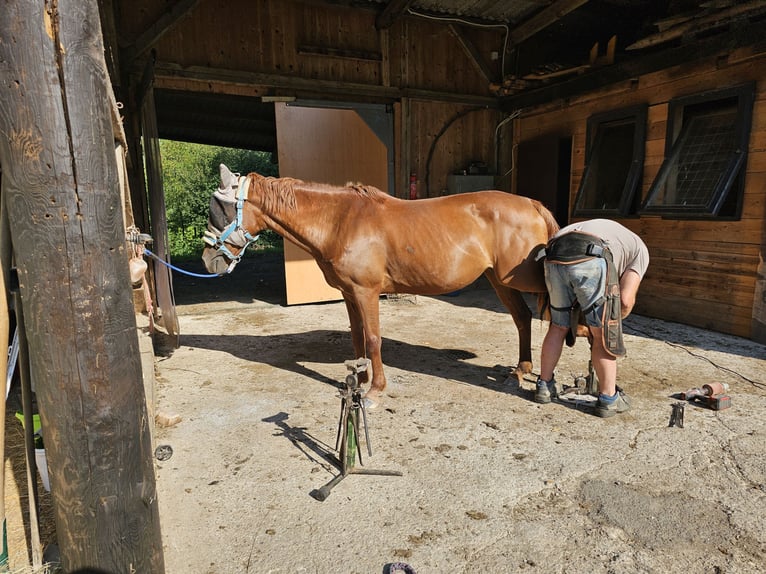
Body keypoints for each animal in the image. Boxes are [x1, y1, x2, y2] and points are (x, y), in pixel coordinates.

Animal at [202, 164, 559, 408]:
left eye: (219, 207)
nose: (208, 261)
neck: (339, 221)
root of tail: (532, 203)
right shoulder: (349, 294)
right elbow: (357, 338)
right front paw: (358, 380)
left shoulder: (367, 291)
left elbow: (373, 339)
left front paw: (375, 389)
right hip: (498, 280)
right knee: (522, 318)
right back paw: (519, 371)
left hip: (524, 279)